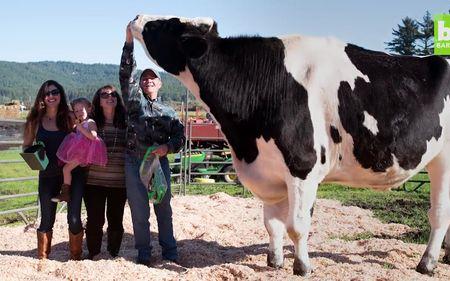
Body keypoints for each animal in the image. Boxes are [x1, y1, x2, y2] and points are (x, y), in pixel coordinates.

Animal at [130, 14, 450, 274]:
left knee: (439, 215)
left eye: (164, 25)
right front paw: (274, 261)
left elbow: (297, 225)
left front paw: (302, 266)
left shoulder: (302, 167)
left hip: (444, 161)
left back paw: (427, 263)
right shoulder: (269, 171)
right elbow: (272, 223)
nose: (136, 16)